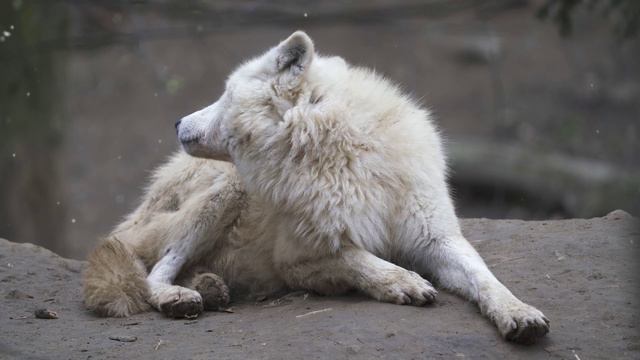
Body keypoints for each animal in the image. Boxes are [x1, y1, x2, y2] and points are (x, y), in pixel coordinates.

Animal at [82, 31, 548, 344]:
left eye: (225, 95)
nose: (177, 122)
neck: (346, 156)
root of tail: (142, 204)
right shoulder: (296, 258)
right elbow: (360, 260)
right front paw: (404, 282)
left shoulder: (435, 237)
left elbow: (485, 277)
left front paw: (519, 312)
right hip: (225, 194)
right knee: (154, 273)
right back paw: (180, 297)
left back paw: (210, 288)